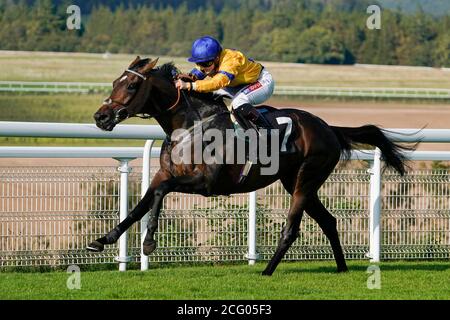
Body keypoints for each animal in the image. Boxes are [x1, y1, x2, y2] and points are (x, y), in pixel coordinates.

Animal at [88, 57, 412, 276]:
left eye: (131, 85)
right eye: (115, 82)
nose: (100, 117)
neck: (190, 126)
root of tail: (329, 128)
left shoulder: (206, 183)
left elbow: (159, 195)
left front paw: (149, 242)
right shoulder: (164, 174)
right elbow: (140, 205)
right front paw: (103, 240)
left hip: (306, 178)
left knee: (292, 229)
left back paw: (267, 271)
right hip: (295, 181)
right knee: (329, 221)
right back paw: (341, 268)